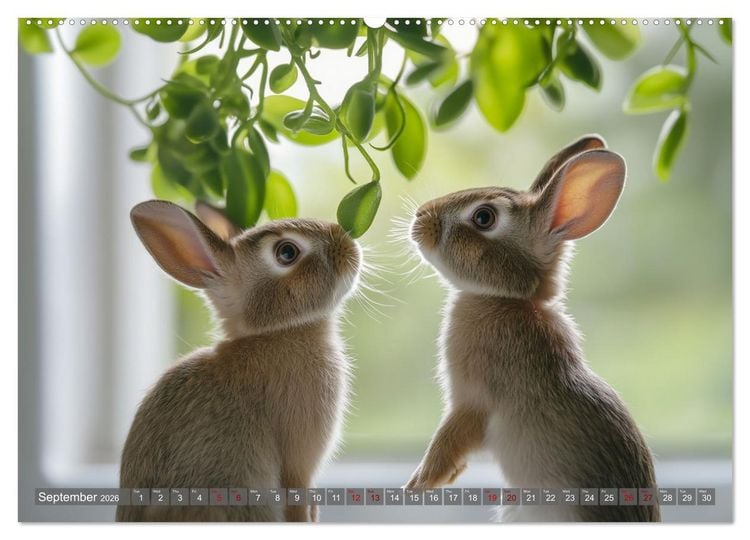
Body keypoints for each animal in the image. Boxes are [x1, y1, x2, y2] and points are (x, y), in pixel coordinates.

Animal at [405, 135, 660, 522]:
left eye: (483, 217)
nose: (420, 217)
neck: (509, 299)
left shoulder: (472, 400)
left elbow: (449, 439)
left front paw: (419, 485)